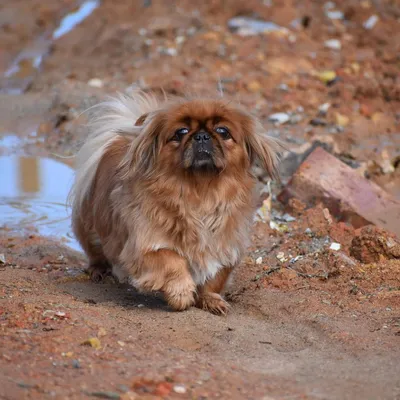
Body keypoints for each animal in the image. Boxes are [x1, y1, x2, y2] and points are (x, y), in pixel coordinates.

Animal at [69, 89, 278, 314]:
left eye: (223, 131)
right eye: (181, 132)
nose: (201, 135)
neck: (201, 193)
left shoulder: (226, 246)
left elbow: (216, 278)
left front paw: (210, 299)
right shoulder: (144, 248)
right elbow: (172, 260)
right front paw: (182, 294)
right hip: (91, 229)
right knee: (96, 252)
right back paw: (99, 271)